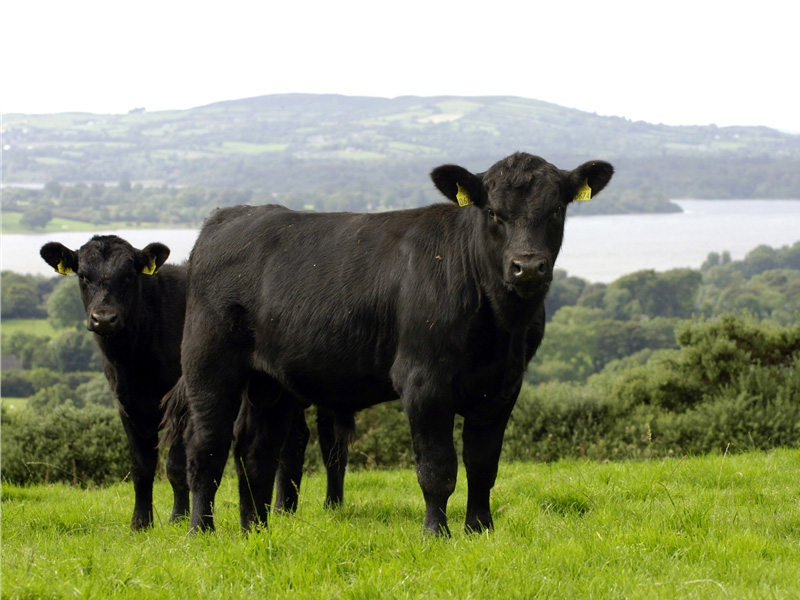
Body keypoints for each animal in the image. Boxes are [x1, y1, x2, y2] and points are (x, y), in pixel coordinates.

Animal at [40, 236, 191, 528]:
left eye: (129, 275)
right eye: (83, 275)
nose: (104, 319)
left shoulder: (183, 403)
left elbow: (176, 466)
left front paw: (179, 520)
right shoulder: (127, 405)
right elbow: (141, 468)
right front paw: (140, 524)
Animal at [181, 151, 616, 536]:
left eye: (556, 210)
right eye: (493, 212)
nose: (527, 266)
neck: (498, 324)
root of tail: (229, 215)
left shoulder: (503, 386)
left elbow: (482, 465)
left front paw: (480, 529)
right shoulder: (424, 381)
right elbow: (437, 469)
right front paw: (436, 533)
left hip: (270, 382)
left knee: (255, 451)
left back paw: (255, 531)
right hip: (208, 365)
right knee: (207, 447)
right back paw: (201, 532)